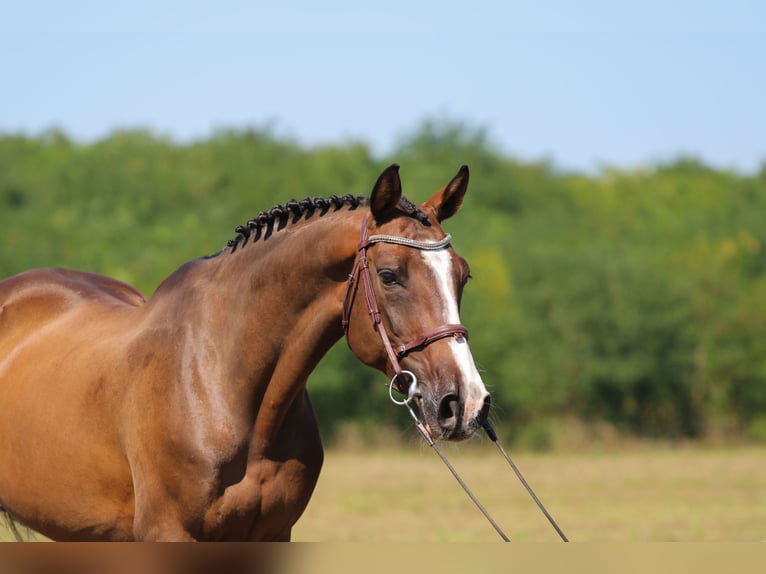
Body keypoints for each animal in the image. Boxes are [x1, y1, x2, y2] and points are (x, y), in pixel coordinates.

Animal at [0, 164, 492, 544]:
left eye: (463, 276)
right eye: (389, 275)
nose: (466, 403)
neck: (223, 381)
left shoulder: (273, 533)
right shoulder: (169, 533)